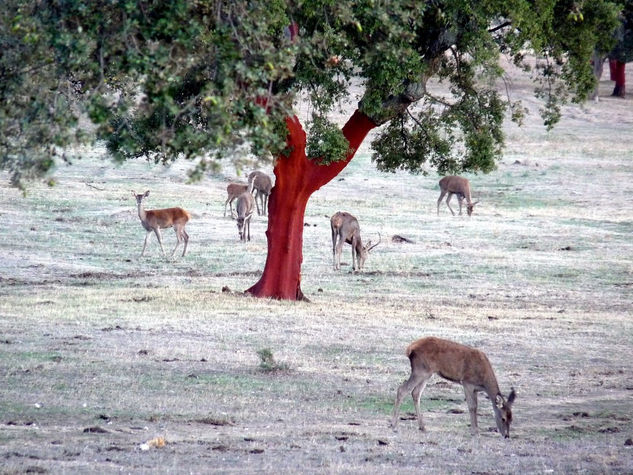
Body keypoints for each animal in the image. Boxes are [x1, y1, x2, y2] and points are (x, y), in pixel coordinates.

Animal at [388, 336, 516, 440]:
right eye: (503, 418)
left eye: (511, 418)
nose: (506, 436)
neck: (483, 381)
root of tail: (410, 349)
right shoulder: (467, 382)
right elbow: (472, 406)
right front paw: (475, 431)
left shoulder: (475, 388)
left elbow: (475, 406)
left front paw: (475, 430)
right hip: (420, 370)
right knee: (402, 389)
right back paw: (393, 425)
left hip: (427, 373)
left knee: (415, 393)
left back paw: (422, 426)